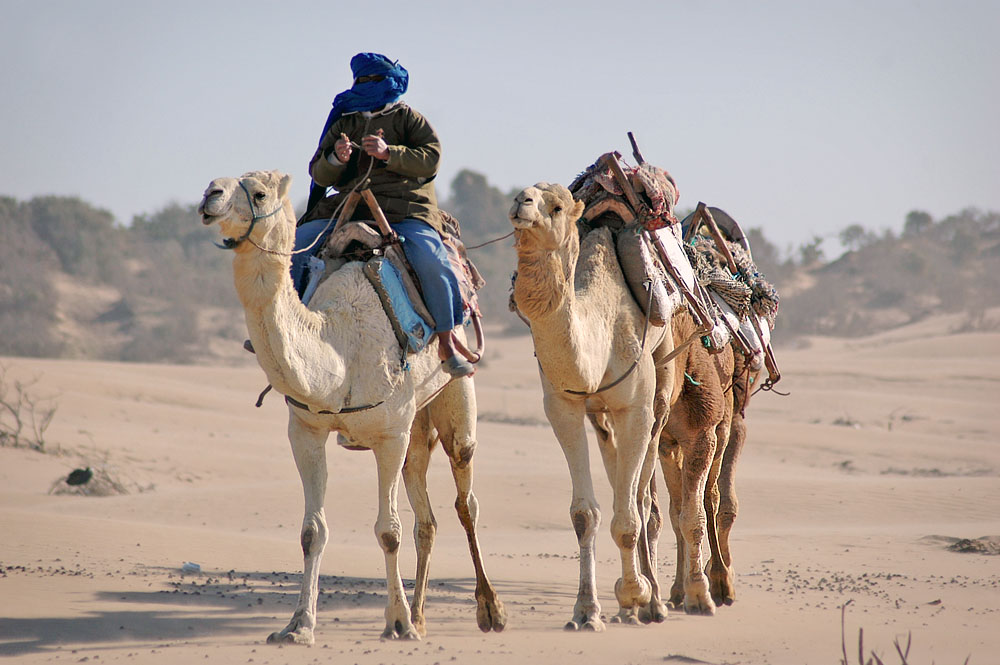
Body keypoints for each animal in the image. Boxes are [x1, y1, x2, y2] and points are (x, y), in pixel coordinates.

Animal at [512, 182, 676, 628]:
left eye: (557, 206)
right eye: (521, 194)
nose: (520, 202)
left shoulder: (635, 409)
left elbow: (630, 515)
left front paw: (637, 593)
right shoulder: (562, 407)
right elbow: (584, 514)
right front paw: (587, 611)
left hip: (662, 383)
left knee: (643, 496)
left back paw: (655, 599)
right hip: (601, 416)